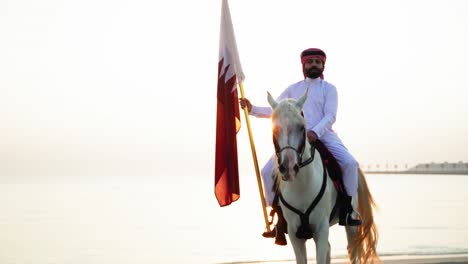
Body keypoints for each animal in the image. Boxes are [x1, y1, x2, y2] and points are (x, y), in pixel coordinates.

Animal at [268, 89, 378, 262]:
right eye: (275, 129)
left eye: (302, 127)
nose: (289, 168)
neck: (301, 186)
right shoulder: (294, 234)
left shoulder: (321, 229)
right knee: (329, 249)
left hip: (350, 225)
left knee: (352, 250)